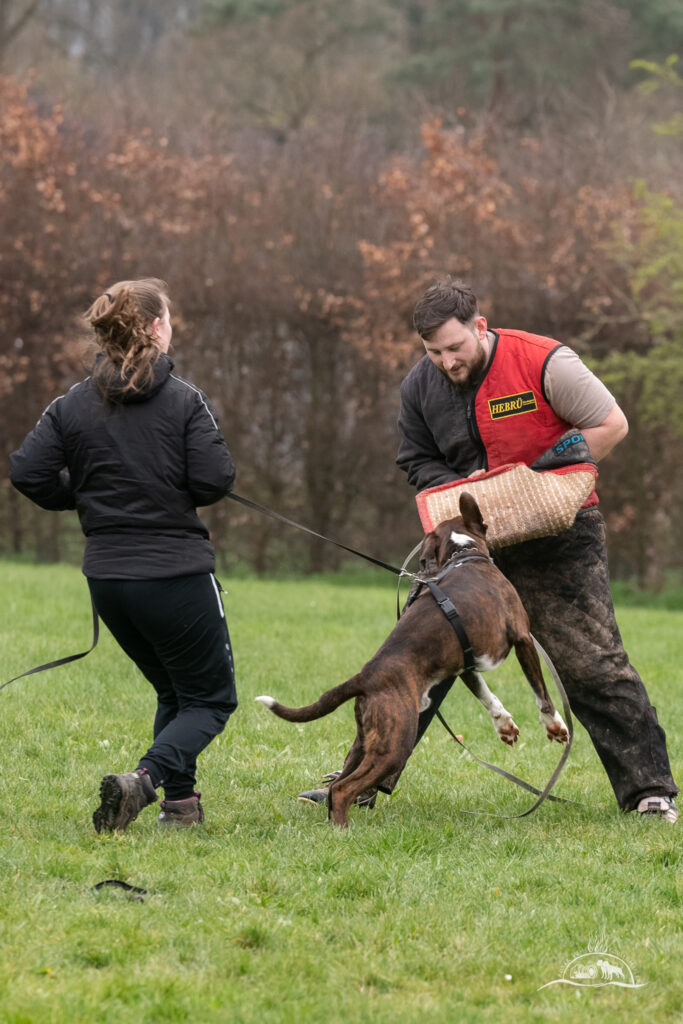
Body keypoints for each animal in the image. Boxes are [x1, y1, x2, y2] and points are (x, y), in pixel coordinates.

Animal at [254, 491, 565, 827]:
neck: (464, 554)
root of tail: (364, 677)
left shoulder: (466, 666)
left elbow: (488, 696)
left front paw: (504, 725)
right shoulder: (522, 638)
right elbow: (541, 692)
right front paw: (554, 725)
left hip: (367, 739)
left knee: (339, 783)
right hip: (396, 743)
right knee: (344, 788)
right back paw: (343, 830)